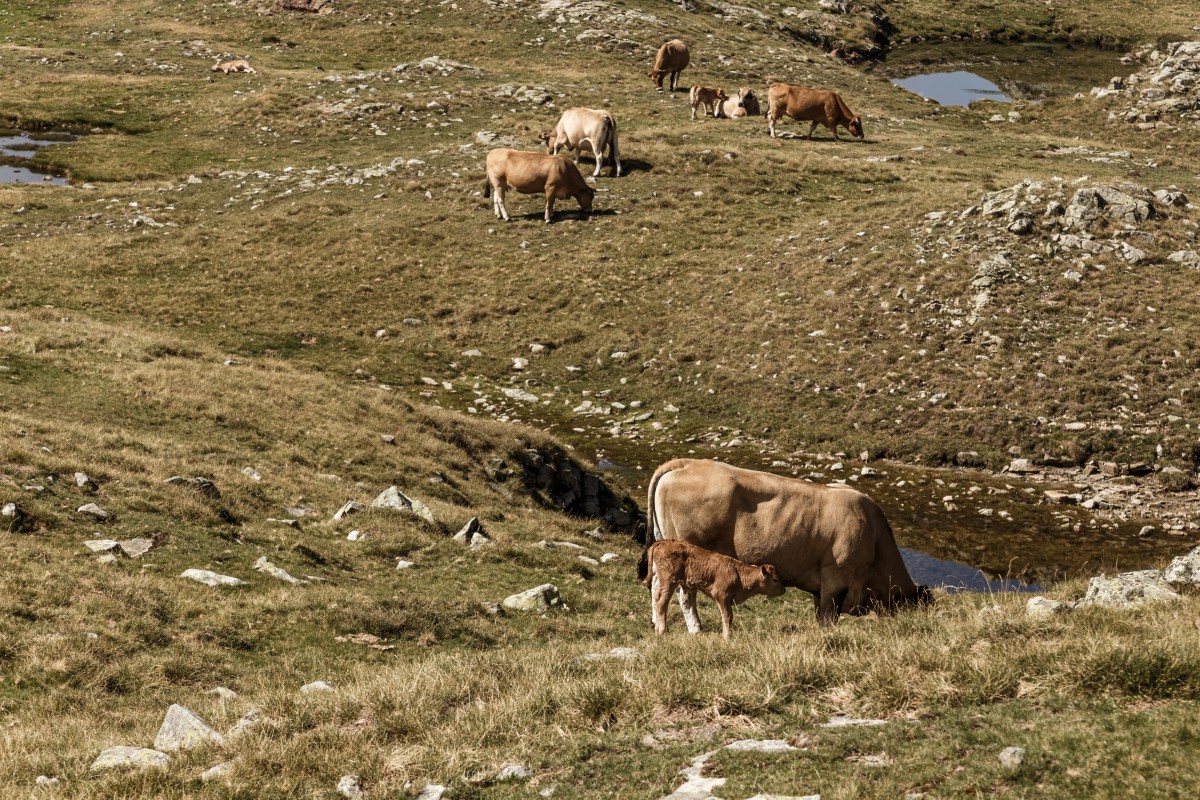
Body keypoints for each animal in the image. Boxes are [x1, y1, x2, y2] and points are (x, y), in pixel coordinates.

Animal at [638, 537, 787, 638]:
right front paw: (727, 637)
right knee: (662, 602)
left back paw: (657, 629)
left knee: (655, 599)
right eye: (775, 579)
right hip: (669, 581)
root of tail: (663, 542)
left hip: (659, 579)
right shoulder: (722, 596)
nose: (783, 589)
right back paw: (662, 631)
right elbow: (727, 616)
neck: (738, 573)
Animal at [648, 455, 926, 623]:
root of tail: (688, 463)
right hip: (690, 557)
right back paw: (696, 629)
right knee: (685, 597)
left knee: (658, 589)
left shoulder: (821, 587)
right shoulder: (835, 578)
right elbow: (828, 619)